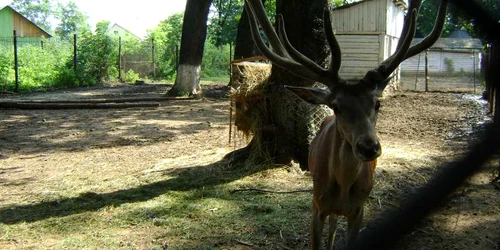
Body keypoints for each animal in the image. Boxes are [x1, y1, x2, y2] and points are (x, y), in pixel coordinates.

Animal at [243, 0, 450, 249]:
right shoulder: (317, 205)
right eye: (337, 106)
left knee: (334, 225)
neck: (342, 188)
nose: (369, 147)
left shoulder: (359, 211)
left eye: (377, 103)